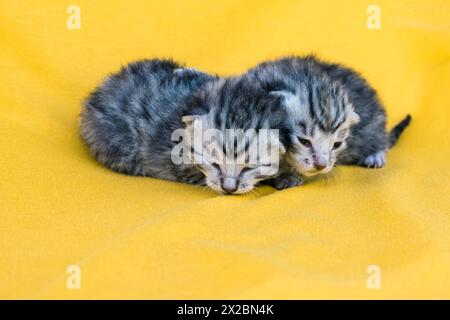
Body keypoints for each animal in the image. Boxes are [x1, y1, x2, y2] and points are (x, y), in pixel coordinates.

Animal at [246, 55, 412, 188]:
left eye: (336, 145)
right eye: (304, 141)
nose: (321, 165)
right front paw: (284, 177)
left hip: (373, 122)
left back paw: (375, 154)